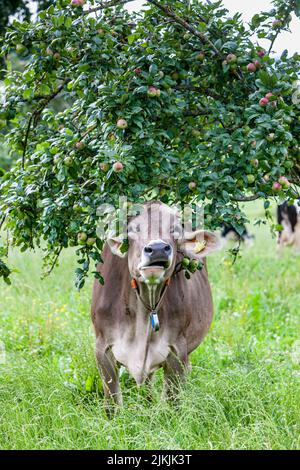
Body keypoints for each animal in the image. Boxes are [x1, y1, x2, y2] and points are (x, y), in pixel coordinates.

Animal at [91, 200, 220, 414]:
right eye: (132, 229)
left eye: (175, 230)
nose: (158, 248)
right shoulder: (102, 346)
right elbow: (112, 403)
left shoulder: (177, 349)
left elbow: (173, 400)